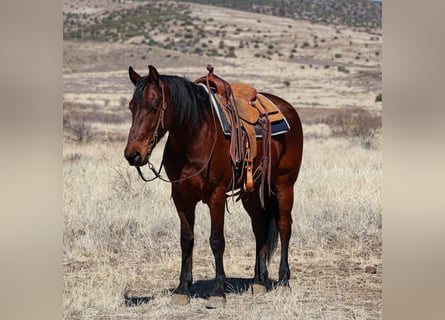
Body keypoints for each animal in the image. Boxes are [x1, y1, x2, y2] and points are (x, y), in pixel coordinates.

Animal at [124, 65, 302, 304]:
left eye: (153, 107)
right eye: (131, 107)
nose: (133, 155)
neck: (195, 136)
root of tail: (288, 108)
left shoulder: (216, 196)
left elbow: (217, 241)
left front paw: (218, 291)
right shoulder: (181, 198)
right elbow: (186, 240)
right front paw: (182, 289)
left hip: (284, 185)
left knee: (284, 226)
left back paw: (283, 281)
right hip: (252, 194)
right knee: (259, 228)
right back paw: (258, 281)